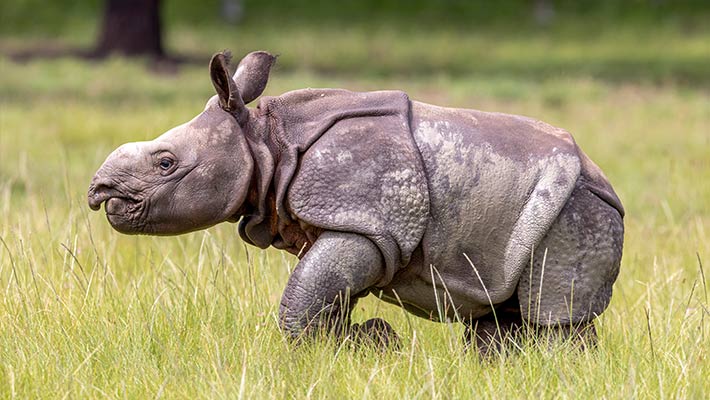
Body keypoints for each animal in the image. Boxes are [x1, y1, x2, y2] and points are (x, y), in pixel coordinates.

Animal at [88, 50, 624, 354]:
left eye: (165, 163)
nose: (100, 193)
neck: (266, 143)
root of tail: (607, 185)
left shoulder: (365, 225)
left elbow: (301, 304)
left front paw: (366, 345)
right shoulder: (350, 228)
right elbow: (321, 297)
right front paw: (368, 344)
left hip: (578, 210)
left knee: (553, 317)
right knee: (499, 317)